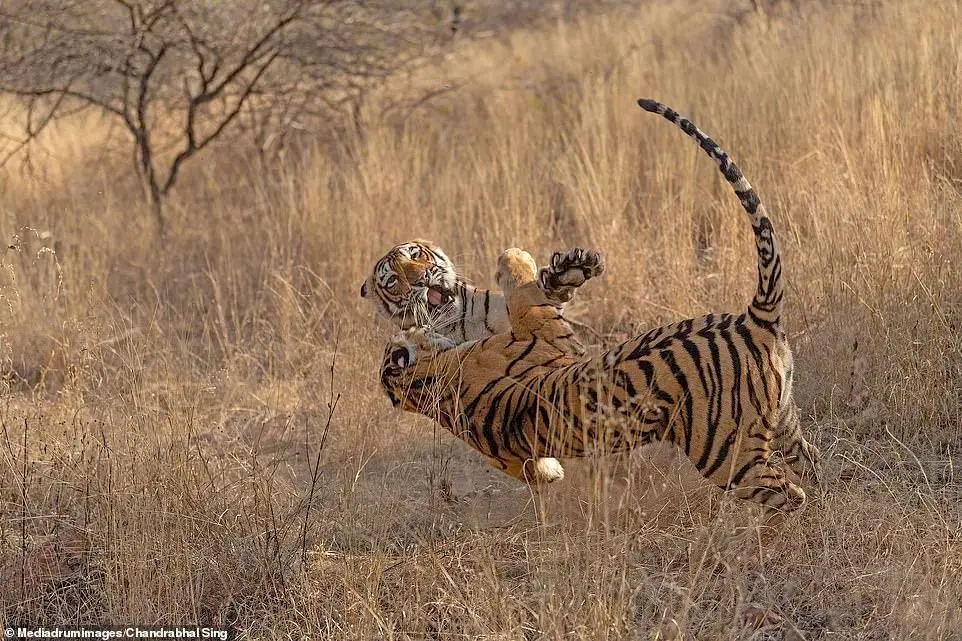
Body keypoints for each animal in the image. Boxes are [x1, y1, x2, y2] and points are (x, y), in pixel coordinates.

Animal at [378, 99, 820, 510]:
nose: (421, 285)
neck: (423, 384)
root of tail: (754, 321)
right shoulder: (543, 332)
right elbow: (523, 294)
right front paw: (520, 259)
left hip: (782, 420)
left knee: (812, 464)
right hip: (729, 455)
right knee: (790, 494)